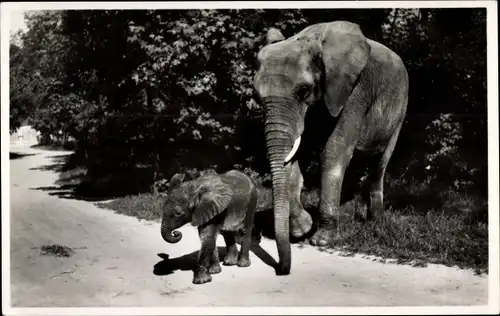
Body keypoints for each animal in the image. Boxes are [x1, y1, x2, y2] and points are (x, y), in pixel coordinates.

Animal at [252, 21, 408, 276]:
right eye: (256, 96)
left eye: (304, 90)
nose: (282, 270)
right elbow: (297, 155)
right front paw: (302, 229)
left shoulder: (354, 90)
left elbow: (333, 151)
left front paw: (322, 240)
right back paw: (352, 217)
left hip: (400, 109)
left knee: (380, 162)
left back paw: (374, 220)